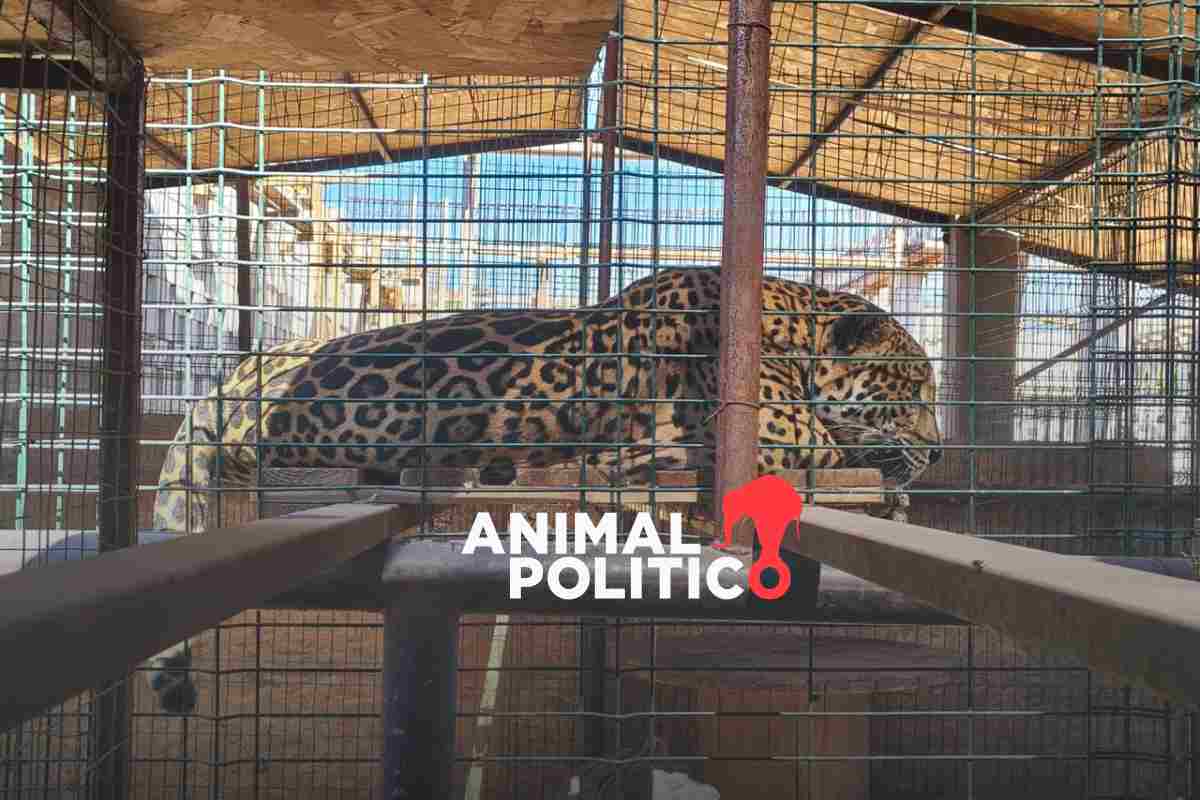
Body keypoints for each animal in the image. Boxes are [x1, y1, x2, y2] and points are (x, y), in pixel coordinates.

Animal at [145, 267, 942, 714]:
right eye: (914, 387)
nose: (938, 448)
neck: (787, 320)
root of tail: (240, 373)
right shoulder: (778, 425)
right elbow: (844, 449)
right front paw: (894, 484)